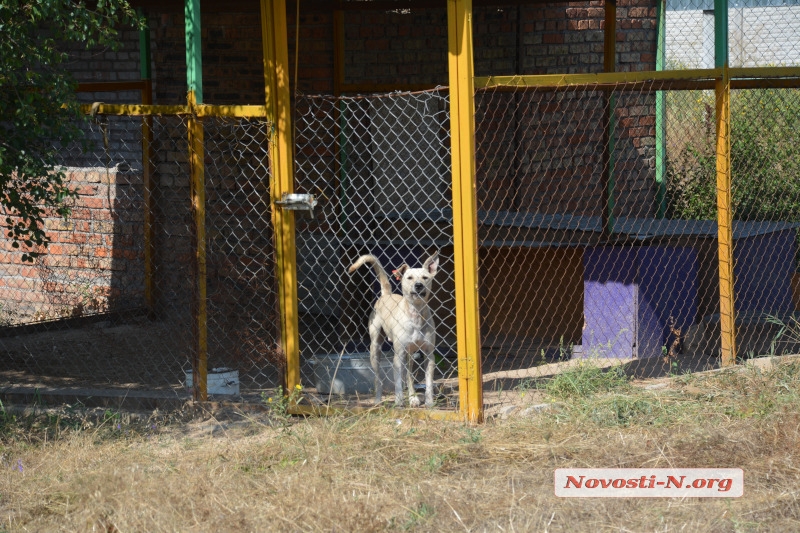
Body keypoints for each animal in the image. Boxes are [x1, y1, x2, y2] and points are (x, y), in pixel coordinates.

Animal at [348, 251, 440, 406]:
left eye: (425, 277)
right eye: (409, 278)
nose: (418, 285)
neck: (415, 314)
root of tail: (386, 294)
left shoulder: (428, 355)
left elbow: (428, 383)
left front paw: (429, 403)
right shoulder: (398, 356)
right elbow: (397, 383)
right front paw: (398, 403)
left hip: (410, 355)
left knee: (409, 376)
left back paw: (413, 397)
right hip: (375, 349)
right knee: (378, 378)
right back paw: (378, 400)